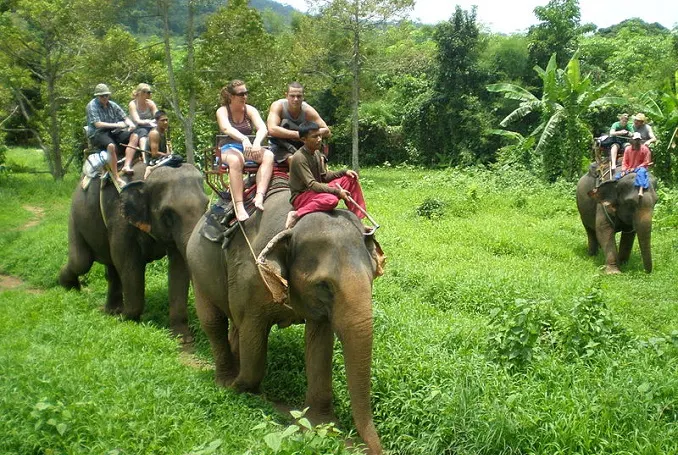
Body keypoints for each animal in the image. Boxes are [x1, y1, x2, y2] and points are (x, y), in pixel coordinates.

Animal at [59, 160, 209, 339]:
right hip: (75, 216)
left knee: (110, 268)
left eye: (206, 206)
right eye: (168, 214)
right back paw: (69, 287)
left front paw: (182, 338)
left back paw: (112, 311)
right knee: (81, 261)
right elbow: (129, 264)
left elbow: (178, 265)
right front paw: (126, 320)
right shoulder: (120, 220)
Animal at [186, 188, 385, 454]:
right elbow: (253, 333)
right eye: (324, 285)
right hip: (198, 268)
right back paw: (225, 379)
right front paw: (242, 389)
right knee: (213, 321)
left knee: (234, 325)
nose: (373, 449)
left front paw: (320, 425)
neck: (292, 226)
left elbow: (319, 344)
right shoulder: (251, 277)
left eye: (372, 275)